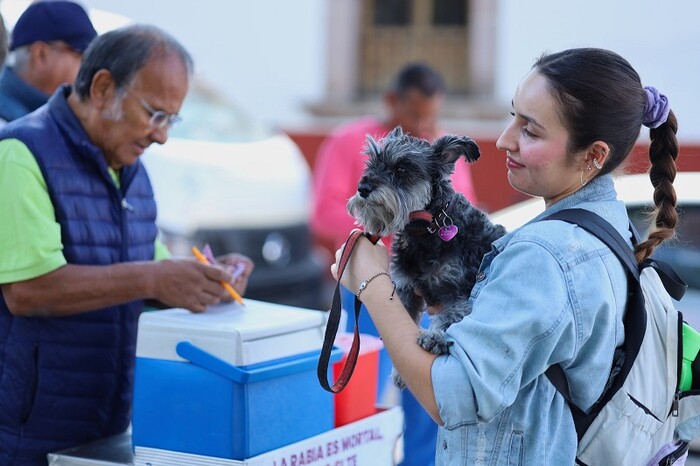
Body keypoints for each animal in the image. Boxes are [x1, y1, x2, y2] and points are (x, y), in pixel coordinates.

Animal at [348, 125, 506, 388]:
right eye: (371, 162)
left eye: (402, 168)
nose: (363, 188)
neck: (427, 228)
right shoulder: (406, 290)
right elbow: (404, 325)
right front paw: (400, 373)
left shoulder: (458, 293)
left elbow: (451, 317)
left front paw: (436, 337)